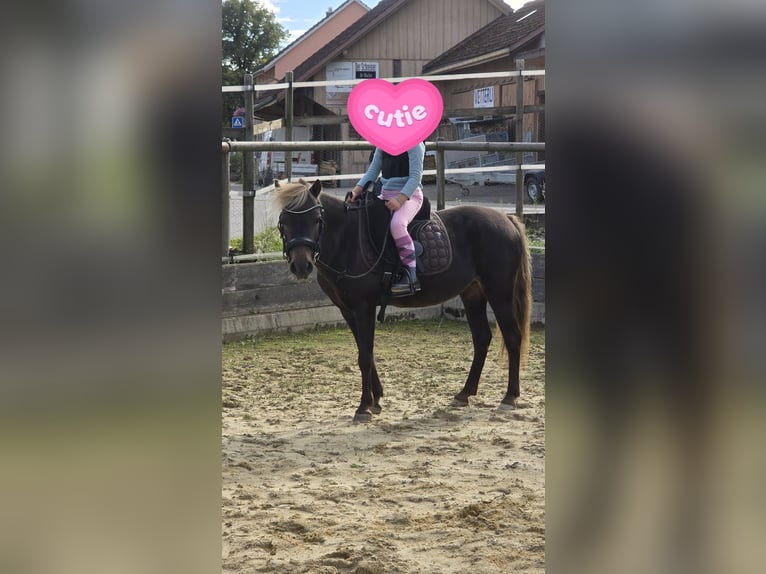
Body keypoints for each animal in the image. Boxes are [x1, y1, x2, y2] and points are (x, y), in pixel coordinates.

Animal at [274, 178, 532, 423]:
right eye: (284, 221)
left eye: (317, 219)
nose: (301, 266)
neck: (347, 239)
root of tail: (506, 219)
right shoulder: (347, 310)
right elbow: (366, 352)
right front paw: (376, 400)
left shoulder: (364, 307)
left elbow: (364, 356)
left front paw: (364, 407)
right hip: (472, 293)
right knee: (481, 338)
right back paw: (464, 394)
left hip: (499, 292)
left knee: (512, 336)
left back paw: (510, 397)